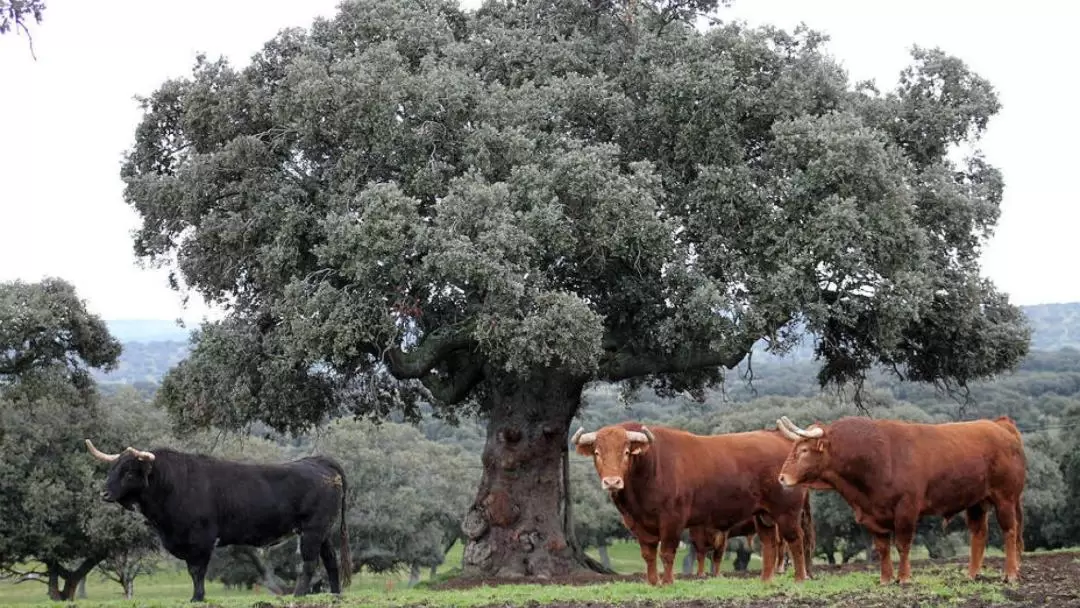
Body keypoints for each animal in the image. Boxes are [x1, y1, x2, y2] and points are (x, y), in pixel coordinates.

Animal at [87, 440, 354, 600]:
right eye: (112, 469)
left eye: (129, 472)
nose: (104, 493)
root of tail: (318, 461)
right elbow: (193, 571)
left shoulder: (201, 539)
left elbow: (197, 570)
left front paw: (197, 597)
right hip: (323, 531)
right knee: (331, 560)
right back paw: (336, 595)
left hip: (312, 530)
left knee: (309, 563)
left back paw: (298, 595)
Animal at [574, 423, 812, 583]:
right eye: (597, 453)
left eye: (625, 452)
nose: (612, 481)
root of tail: (779, 437)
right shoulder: (638, 523)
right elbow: (648, 554)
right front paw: (653, 583)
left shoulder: (673, 519)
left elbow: (667, 552)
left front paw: (667, 583)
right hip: (763, 515)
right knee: (769, 543)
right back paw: (766, 580)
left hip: (787, 511)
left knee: (795, 540)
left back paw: (800, 578)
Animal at [777, 414, 1019, 583]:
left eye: (804, 450)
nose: (781, 478)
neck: (877, 459)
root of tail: (999, 426)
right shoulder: (872, 515)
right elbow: (883, 548)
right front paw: (885, 579)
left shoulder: (906, 509)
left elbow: (902, 545)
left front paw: (903, 578)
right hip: (976, 502)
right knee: (979, 534)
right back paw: (972, 574)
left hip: (1005, 498)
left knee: (1010, 531)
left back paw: (1010, 574)